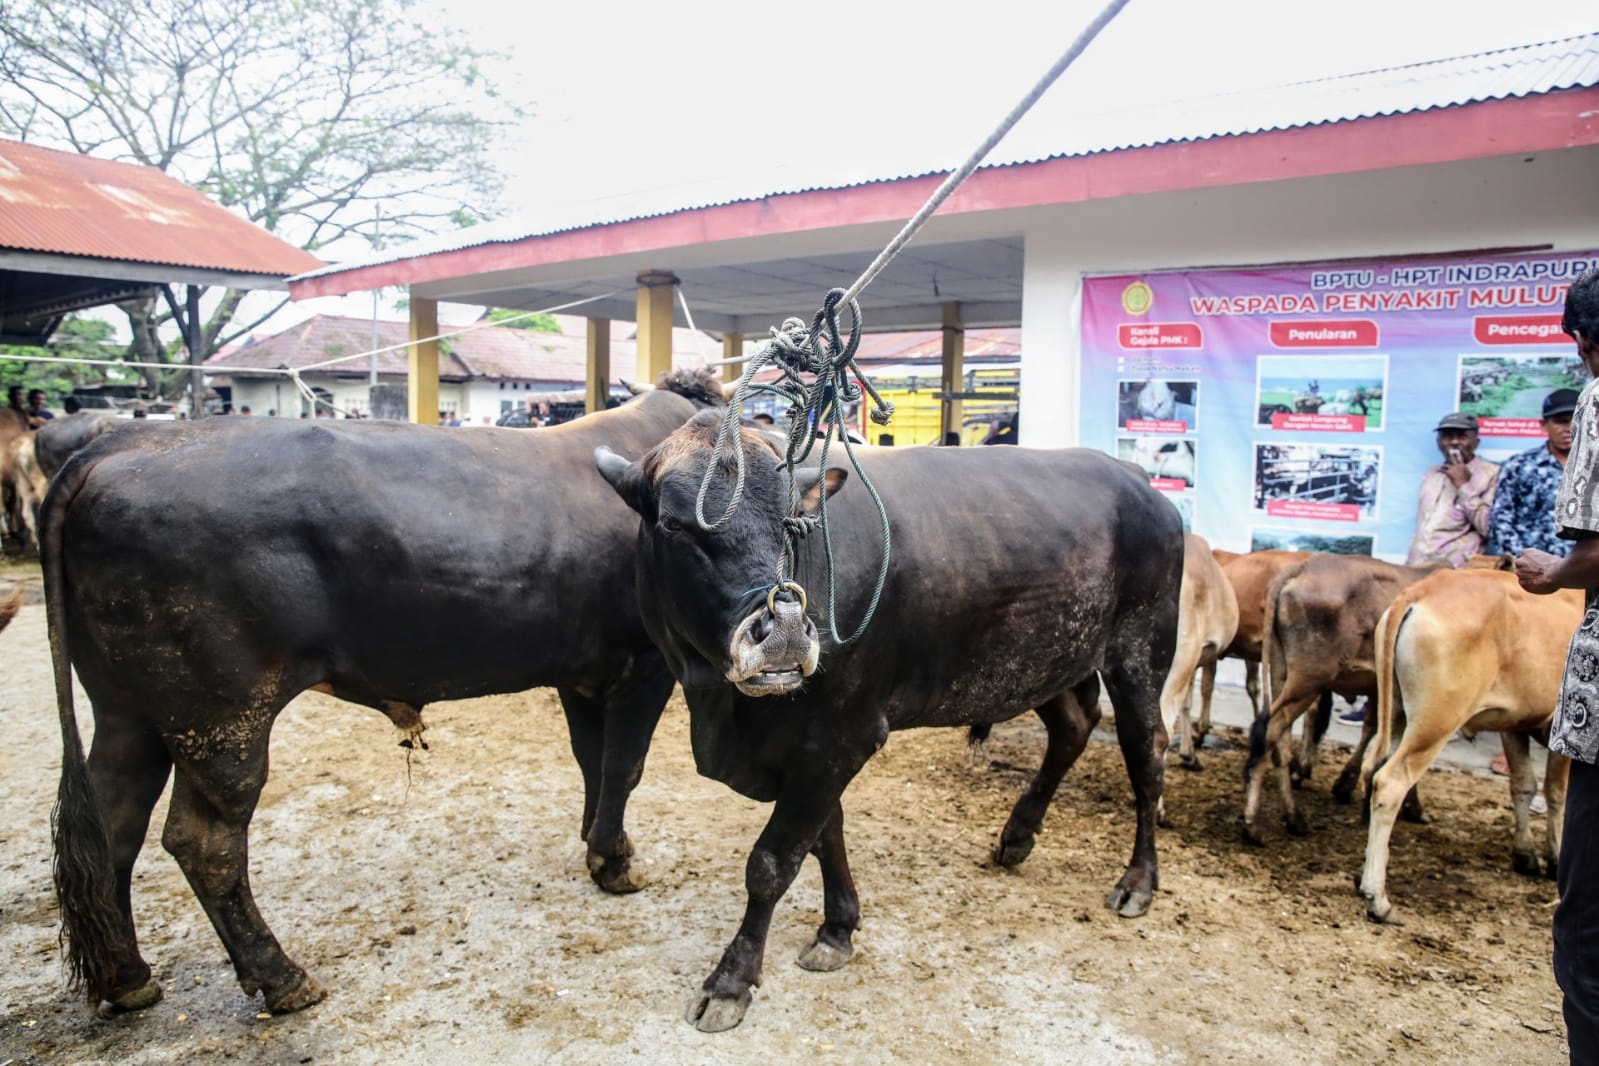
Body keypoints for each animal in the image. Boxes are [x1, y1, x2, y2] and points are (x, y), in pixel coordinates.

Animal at [45, 370, 719, 1016]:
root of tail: (120, 443)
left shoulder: (581, 671)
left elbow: (592, 762)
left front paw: (595, 839)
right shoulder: (646, 662)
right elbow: (624, 765)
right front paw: (614, 862)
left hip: (130, 713)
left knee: (112, 829)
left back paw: (128, 978)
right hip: (220, 717)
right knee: (205, 843)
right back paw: (282, 977)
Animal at [594, 412, 1183, 1035]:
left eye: (795, 524)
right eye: (673, 523)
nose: (784, 629)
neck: (722, 710)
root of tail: (1138, 482)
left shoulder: (840, 737)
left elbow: (774, 860)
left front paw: (731, 980)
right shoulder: (814, 750)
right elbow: (825, 835)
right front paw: (837, 929)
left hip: (1139, 654)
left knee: (1147, 756)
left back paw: (1137, 882)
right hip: (1048, 661)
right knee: (1073, 725)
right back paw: (1018, 835)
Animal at [1355, 572, 1579, 920]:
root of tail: (1422, 590)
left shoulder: (1514, 724)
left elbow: (1523, 785)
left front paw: (1525, 855)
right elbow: (1557, 793)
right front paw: (1554, 861)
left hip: (1396, 713)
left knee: (1372, 767)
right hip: (1436, 723)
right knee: (1389, 783)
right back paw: (1378, 899)